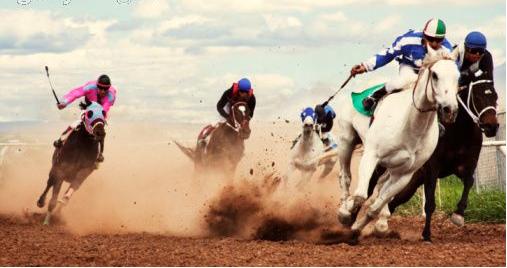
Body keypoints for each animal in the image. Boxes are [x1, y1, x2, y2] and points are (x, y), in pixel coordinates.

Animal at [336, 46, 462, 243]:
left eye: (458, 76)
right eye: (435, 75)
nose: (450, 110)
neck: (410, 125)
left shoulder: (405, 173)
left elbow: (376, 206)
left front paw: (362, 227)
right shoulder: (372, 155)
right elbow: (361, 195)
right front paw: (347, 214)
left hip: (388, 167)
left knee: (379, 188)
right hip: (346, 140)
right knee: (345, 176)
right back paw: (343, 208)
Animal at [366, 79, 500, 241]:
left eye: (495, 97)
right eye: (477, 97)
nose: (492, 126)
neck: (458, 132)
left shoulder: (466, 166)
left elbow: (469, 182)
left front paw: (458, 215)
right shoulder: (432, 169)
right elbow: (429, 203)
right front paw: (427, 234)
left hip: (411, 183)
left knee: (393, 202)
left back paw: (380, 228)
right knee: (373, 186)